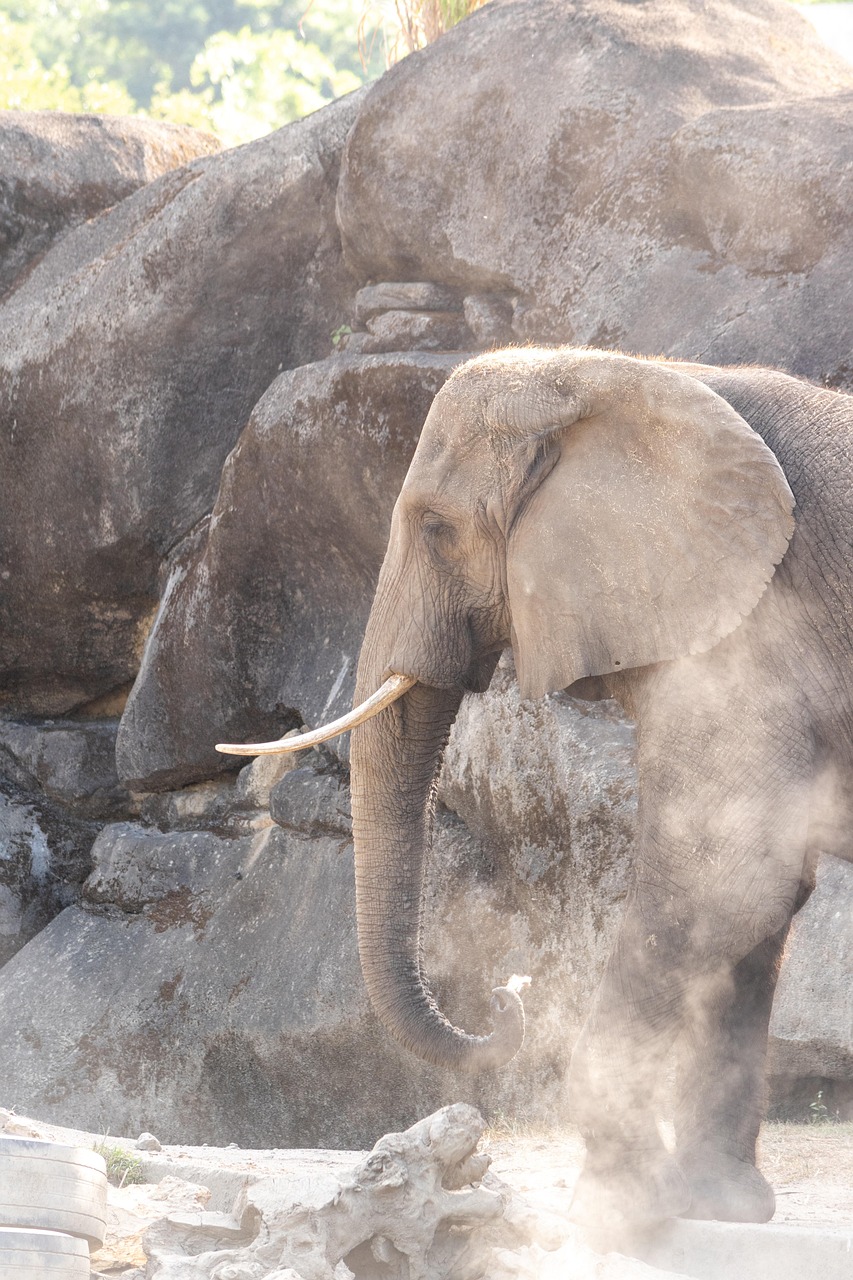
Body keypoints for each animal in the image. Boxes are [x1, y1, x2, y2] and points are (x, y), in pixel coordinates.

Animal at [218, 347, 853, 1228]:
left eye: (437, 527)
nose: (503, 994)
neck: (622, 375)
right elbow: (758, 898)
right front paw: (716, 1206)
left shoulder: (758, 630)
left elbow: (722, 884)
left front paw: (611, 1206)